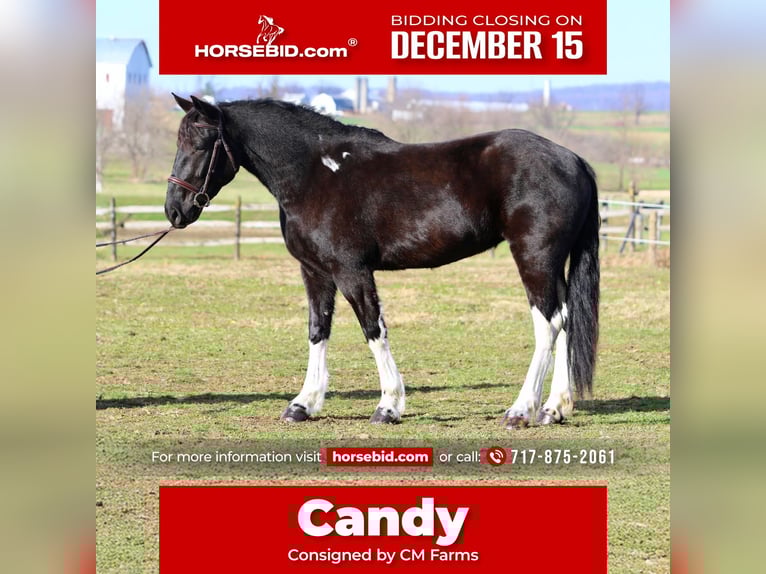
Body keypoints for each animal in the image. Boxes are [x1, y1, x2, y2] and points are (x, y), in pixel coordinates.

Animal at [165, 94, 600, 429]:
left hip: (533, 257)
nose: (175, 210)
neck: (315, 174)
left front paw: (388, 406)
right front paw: (303, 404)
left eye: (201, 144)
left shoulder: (351, 271)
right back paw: (554, 409)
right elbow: (317, 331)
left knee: (548, 324)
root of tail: (573, 159)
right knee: (565, 320)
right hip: (551, 264)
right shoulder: (315, 272)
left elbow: (373, 329)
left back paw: (520, 410)